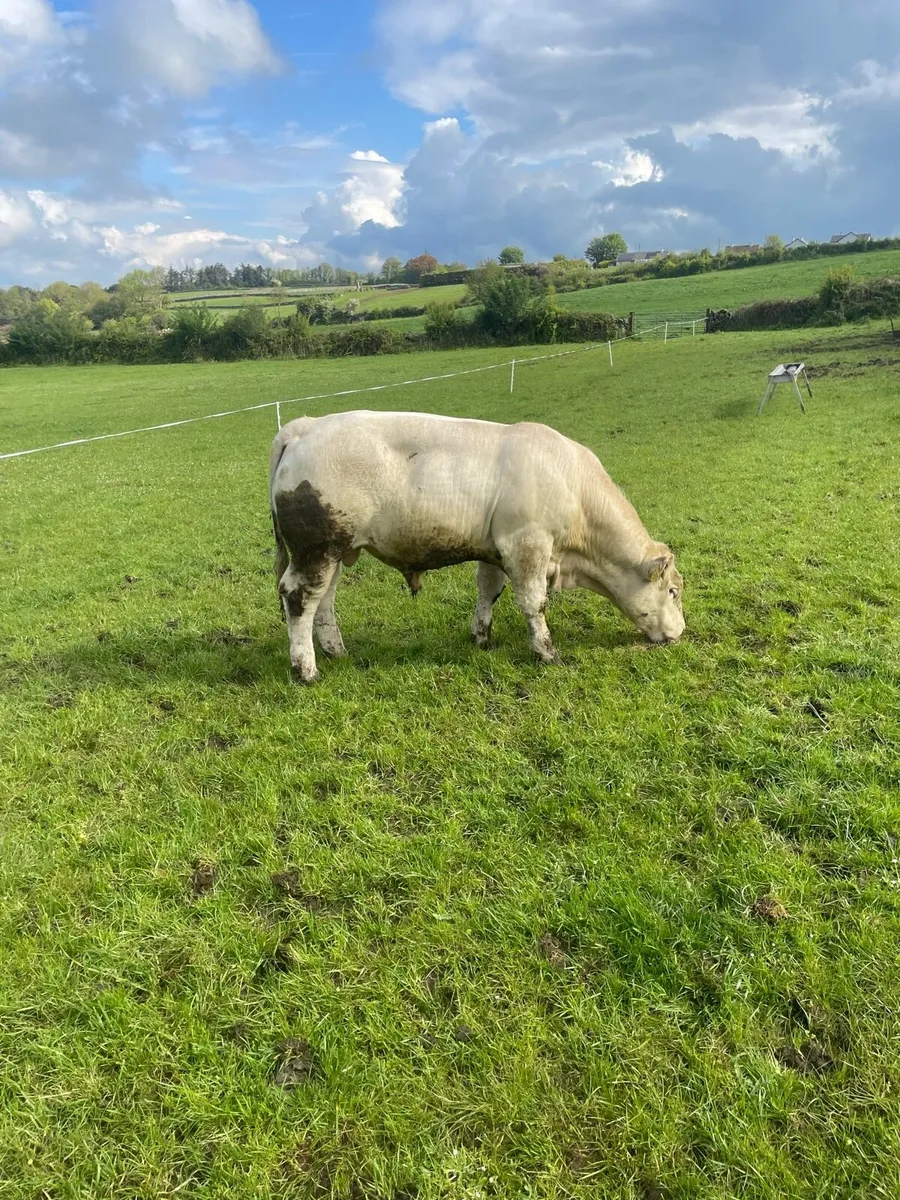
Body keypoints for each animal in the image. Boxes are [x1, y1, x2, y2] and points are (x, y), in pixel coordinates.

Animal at [269, 410, 684, 682]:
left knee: (323, 601)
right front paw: (546, 652)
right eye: (673, 591)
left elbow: (489, 591)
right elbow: (534, 602)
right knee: (299, 598)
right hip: (316, 549)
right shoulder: (527, 544)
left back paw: (336, 651)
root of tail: (304, 426)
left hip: (334, 552)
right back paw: (306, 669)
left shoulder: (496, 550)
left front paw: (481, 637)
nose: (680, 633)